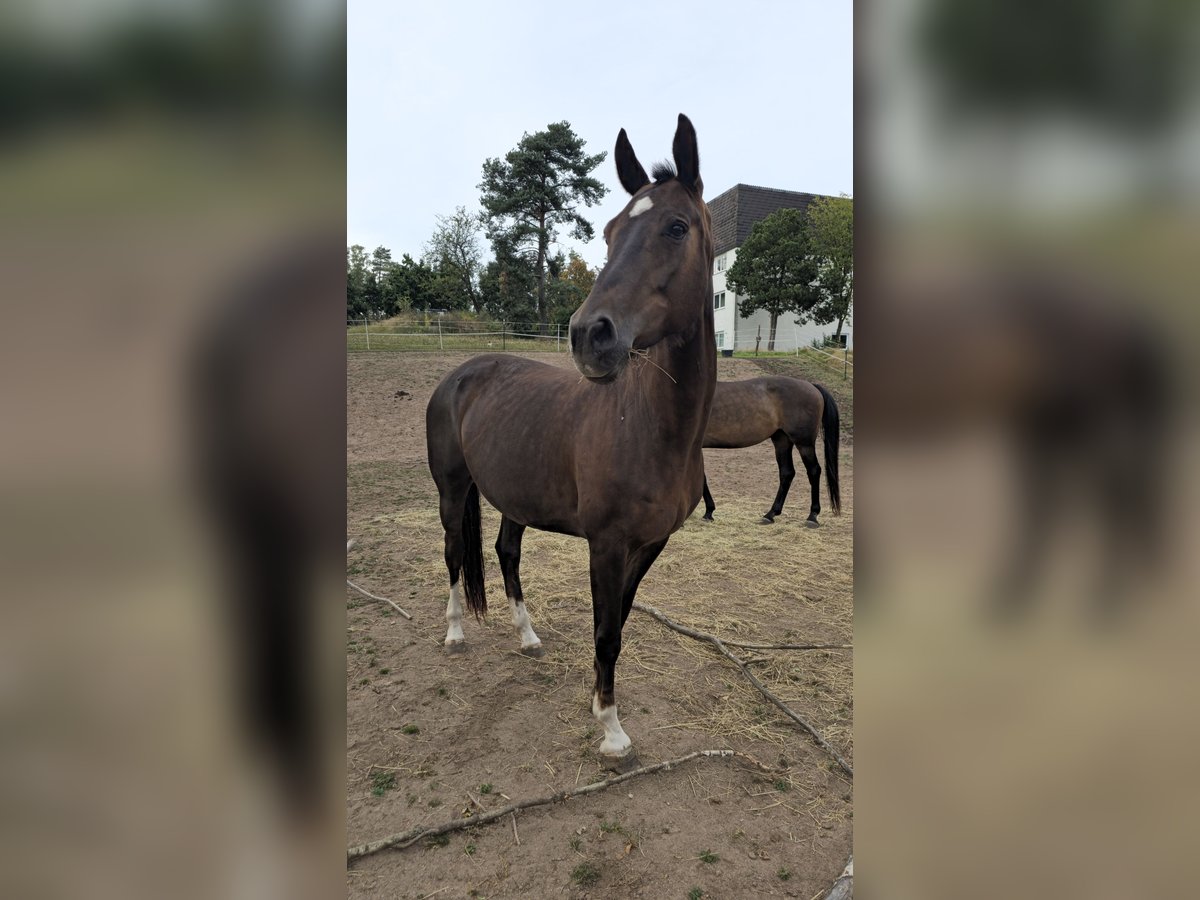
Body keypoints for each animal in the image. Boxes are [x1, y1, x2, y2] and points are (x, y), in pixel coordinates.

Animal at [427, 114, 710, 768]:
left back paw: (528, 637)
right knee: (454, 553)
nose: (589, 336)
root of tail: (459, 376)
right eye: (608, 232)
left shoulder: (648, 545)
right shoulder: (605, 545)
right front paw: (611, 729)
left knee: (505, 552)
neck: (652, 429)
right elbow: (604, 632)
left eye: (676, 227)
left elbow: (620, 626)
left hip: (513, 495)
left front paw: (597, 702)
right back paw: (454, 633)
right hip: (453, 490)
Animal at [700, 374, 840, 528]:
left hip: (804, 443)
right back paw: (771, 514)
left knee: (814, 471)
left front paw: (708, 511)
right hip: (782, 440)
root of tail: (812, 386)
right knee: (787, 473)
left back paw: (812, 516)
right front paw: (708, 511)